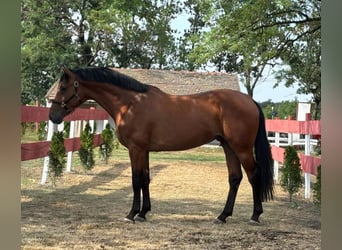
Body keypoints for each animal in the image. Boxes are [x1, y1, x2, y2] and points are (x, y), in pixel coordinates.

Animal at [49, 65, 274, 224]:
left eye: (63, 87)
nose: (53, 116)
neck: (130, 104)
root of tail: (250, 101)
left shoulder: (136, 149)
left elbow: (136, 180)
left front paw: (131, 214)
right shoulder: (144, 150)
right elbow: (146, 179)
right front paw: (143, 213)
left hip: (242, 149)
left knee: (254, 176)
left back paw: (255, 216)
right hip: (229, 147)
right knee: (235, 178)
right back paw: (222, 216)